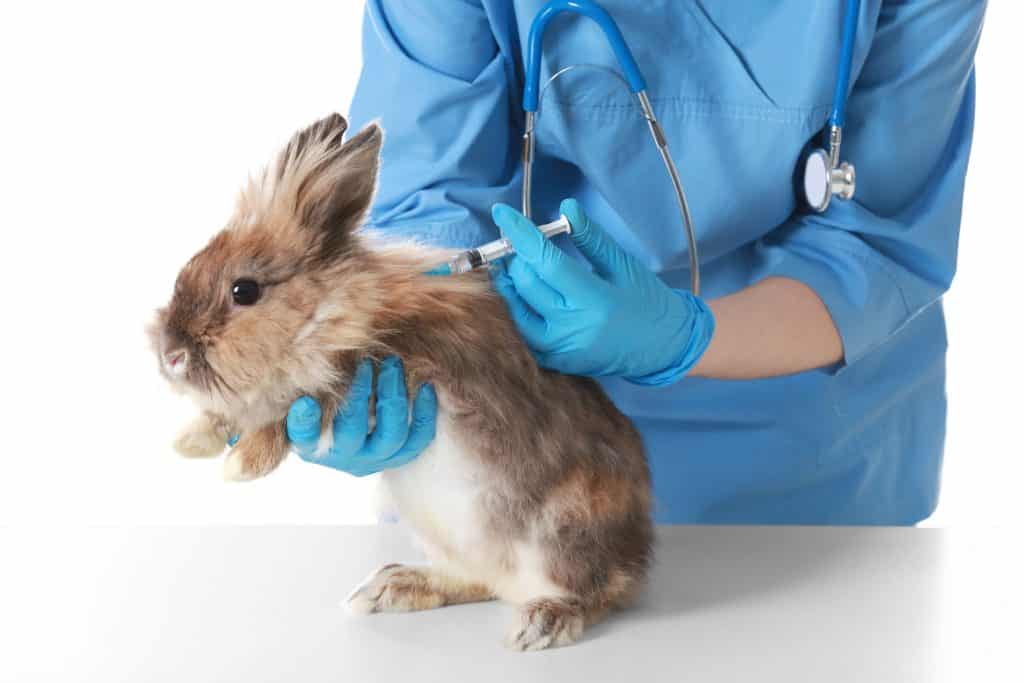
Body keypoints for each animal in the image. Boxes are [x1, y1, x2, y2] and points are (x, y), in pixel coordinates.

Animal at [148, 113, 651, 651]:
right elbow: (240, 411)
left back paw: (540, 622)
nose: (171, 355)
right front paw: (192, 441)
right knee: (481, 580)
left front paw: (242, 463)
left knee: (594, 590)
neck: (331, 314)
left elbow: (294, 410)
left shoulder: (386, 377)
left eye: (244, 291)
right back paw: (392, 587)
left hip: (563, 531)